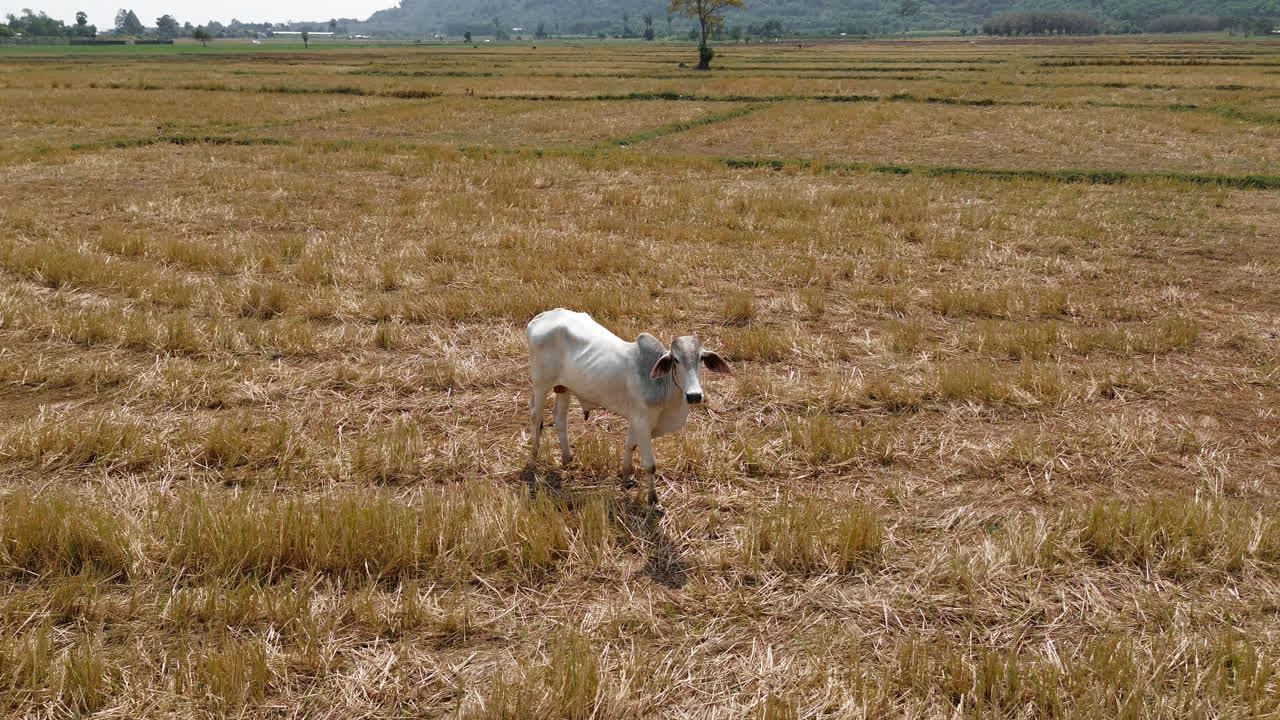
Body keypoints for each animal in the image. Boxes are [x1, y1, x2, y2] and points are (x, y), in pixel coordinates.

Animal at [526, 308, 732, 509]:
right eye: (676, 360)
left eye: (701, 358)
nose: (694, 395)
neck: (662, 387)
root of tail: (543, 316)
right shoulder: (642, 422)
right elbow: (650, 465)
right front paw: (654, 500)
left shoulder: (636, 420)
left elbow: (630, 445)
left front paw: (627, 477)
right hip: (541, 384)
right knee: (536, 417)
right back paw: (533, 458)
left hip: (564, 388)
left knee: (560, 419)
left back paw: (567, 458)